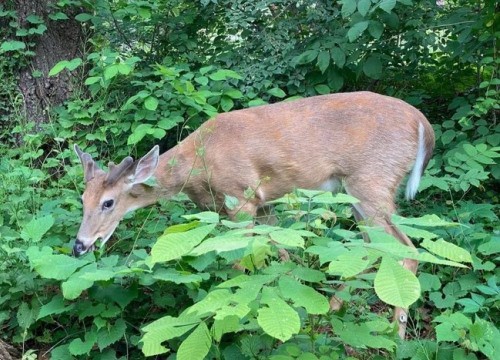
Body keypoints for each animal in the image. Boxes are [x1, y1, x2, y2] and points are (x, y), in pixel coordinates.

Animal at [73, 91, 434, 338]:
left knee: (406, 249)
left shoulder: (241, 197)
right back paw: (331, 311)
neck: (198, 164)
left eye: (108, 202)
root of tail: (423, 124)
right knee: (372, 249)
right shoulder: (263, 203)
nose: (79, 245)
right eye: (82, 199)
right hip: (357, 192)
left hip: (371, 181)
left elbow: (239, 263)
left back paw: (396, 334)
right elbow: (280, 254)